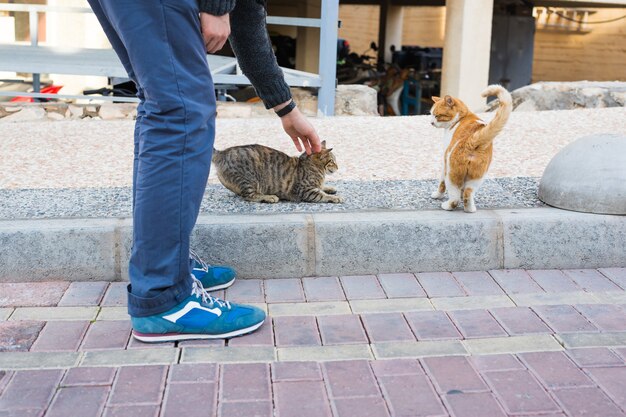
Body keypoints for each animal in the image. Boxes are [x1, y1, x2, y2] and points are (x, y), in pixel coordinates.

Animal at [428, 85, 512, 213]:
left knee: (455, 198)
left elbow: (441, 184)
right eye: (431, 114)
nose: (431, 122)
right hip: (477, 178)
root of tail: (471, 141)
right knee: (468, 193)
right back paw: (470, 209)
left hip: (452, 174)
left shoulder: (444, 161)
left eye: (437, 115)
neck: (462, 117)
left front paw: (437, 195)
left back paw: (447, 206)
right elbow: (463, 190)